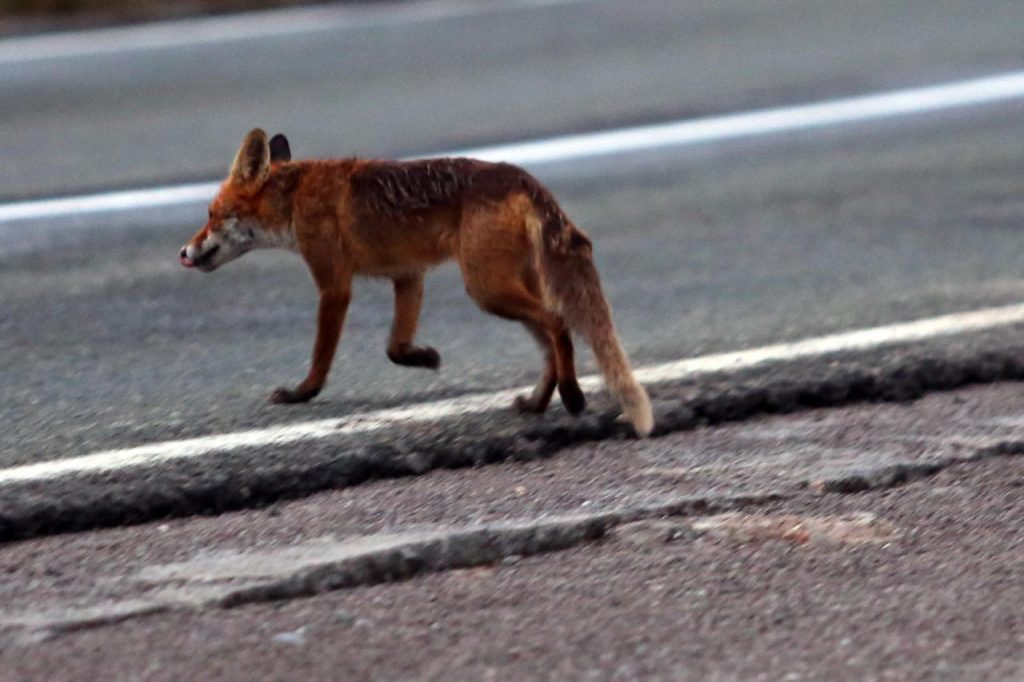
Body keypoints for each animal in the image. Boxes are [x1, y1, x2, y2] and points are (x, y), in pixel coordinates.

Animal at [179, 128, 651, 436]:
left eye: (211, 215)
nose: (184, 252)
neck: (295, 199)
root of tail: (521, 177)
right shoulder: (408, 275)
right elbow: (394, 347)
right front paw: (423, 358)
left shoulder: (334, 285)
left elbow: (321, 355)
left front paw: (302, 393)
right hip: (505, 288)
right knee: (550, 343)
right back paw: (537, 402)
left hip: (487, 290)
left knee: (558, 323)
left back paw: (572, 395)